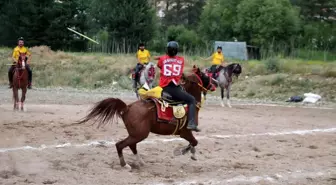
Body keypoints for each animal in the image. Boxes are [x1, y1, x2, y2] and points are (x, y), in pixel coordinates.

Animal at [77, 65, 215, 169]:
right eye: (205, 76)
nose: (215, 83)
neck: (188, 104)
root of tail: (127, 108)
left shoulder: (185, 133)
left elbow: (193, 143)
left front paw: (189, 152)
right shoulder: (185, 132)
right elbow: (194, 142)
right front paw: (185, 152)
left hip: (135, 134)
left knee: (131, 146)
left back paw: (140, 162)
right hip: (140, 134)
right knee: (120, 145)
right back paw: (125, 165)